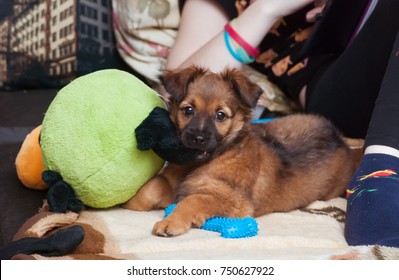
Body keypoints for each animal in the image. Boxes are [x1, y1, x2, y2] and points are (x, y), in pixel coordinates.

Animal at [122, 66, 360, 237]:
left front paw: (171, 221)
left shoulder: (235, 203)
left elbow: (193, 200)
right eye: (188, 110)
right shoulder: (172, 184)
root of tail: (339, 138)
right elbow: (150, 188)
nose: (198, 138)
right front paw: (127, 204)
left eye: (220, 115)